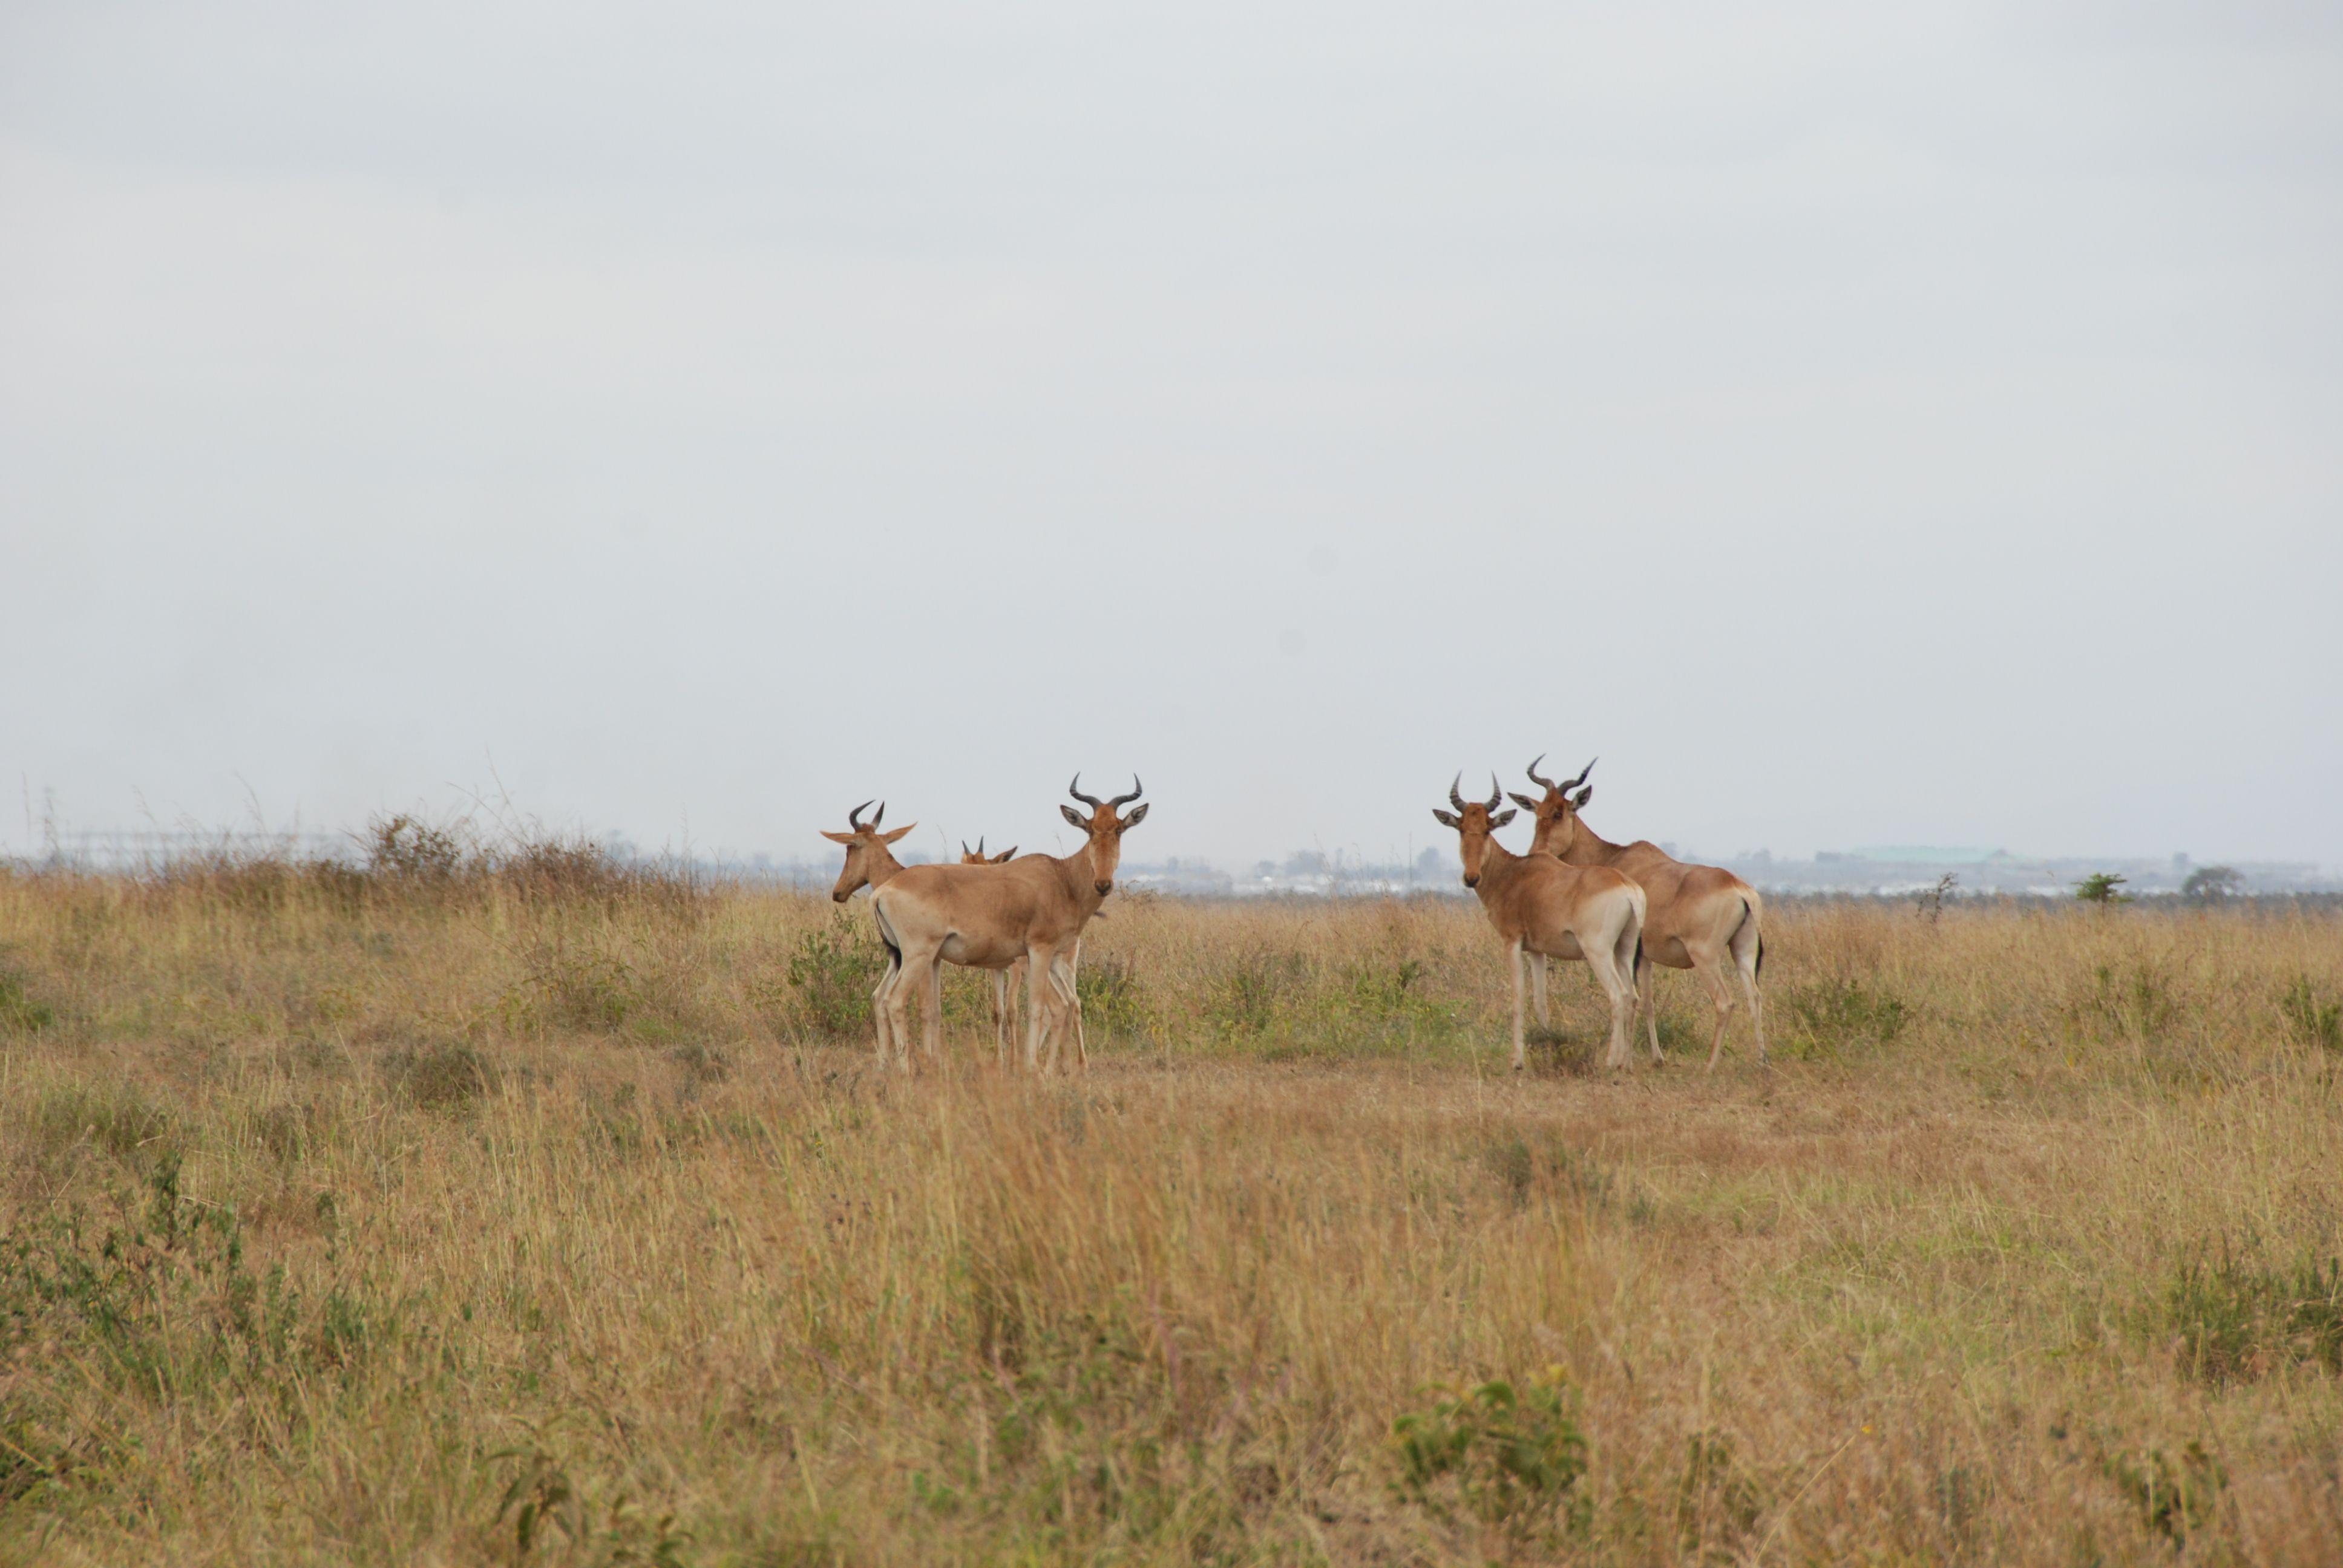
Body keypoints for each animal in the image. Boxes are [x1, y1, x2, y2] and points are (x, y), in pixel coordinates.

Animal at [955, 829, 1021, 1063]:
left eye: (985, 868)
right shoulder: (996, 968)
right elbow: (997, 1011)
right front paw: (998, 1060)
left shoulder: (1016, 968)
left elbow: (1012, 1011)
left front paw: (1014, 1061)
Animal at [1424, 773, 1649, 1068]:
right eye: (1461, 828)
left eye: (1488, 829)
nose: (1471, 878)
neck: (1514, 872)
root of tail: (1627, 887)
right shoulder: (1537, 951)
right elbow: (1540, 1001)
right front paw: (1547, 1046)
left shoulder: (1512, 942)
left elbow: (1518, 996)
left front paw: (1517, 1061)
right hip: (1624, 948)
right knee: (1633, 996)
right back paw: (1627, 1063)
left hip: (1597, 951)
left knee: (1618, 994)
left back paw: (1611, 1062)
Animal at [1509, 750, 1761, 1068]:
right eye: (1537, 811)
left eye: (1559, 813)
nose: (1535, 854)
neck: (1614, 857)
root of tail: (1738, 888)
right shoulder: (1646, 955)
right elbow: (1648, 1003)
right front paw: (1655, 1058)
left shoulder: (1631, 952)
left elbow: (1632, 998)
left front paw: (1624, 1060)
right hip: (1743, 949)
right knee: (1755, 997)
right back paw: (1763, 1061)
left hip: (1705, 955)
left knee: (1725, 1002)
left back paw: (1710, 1066)